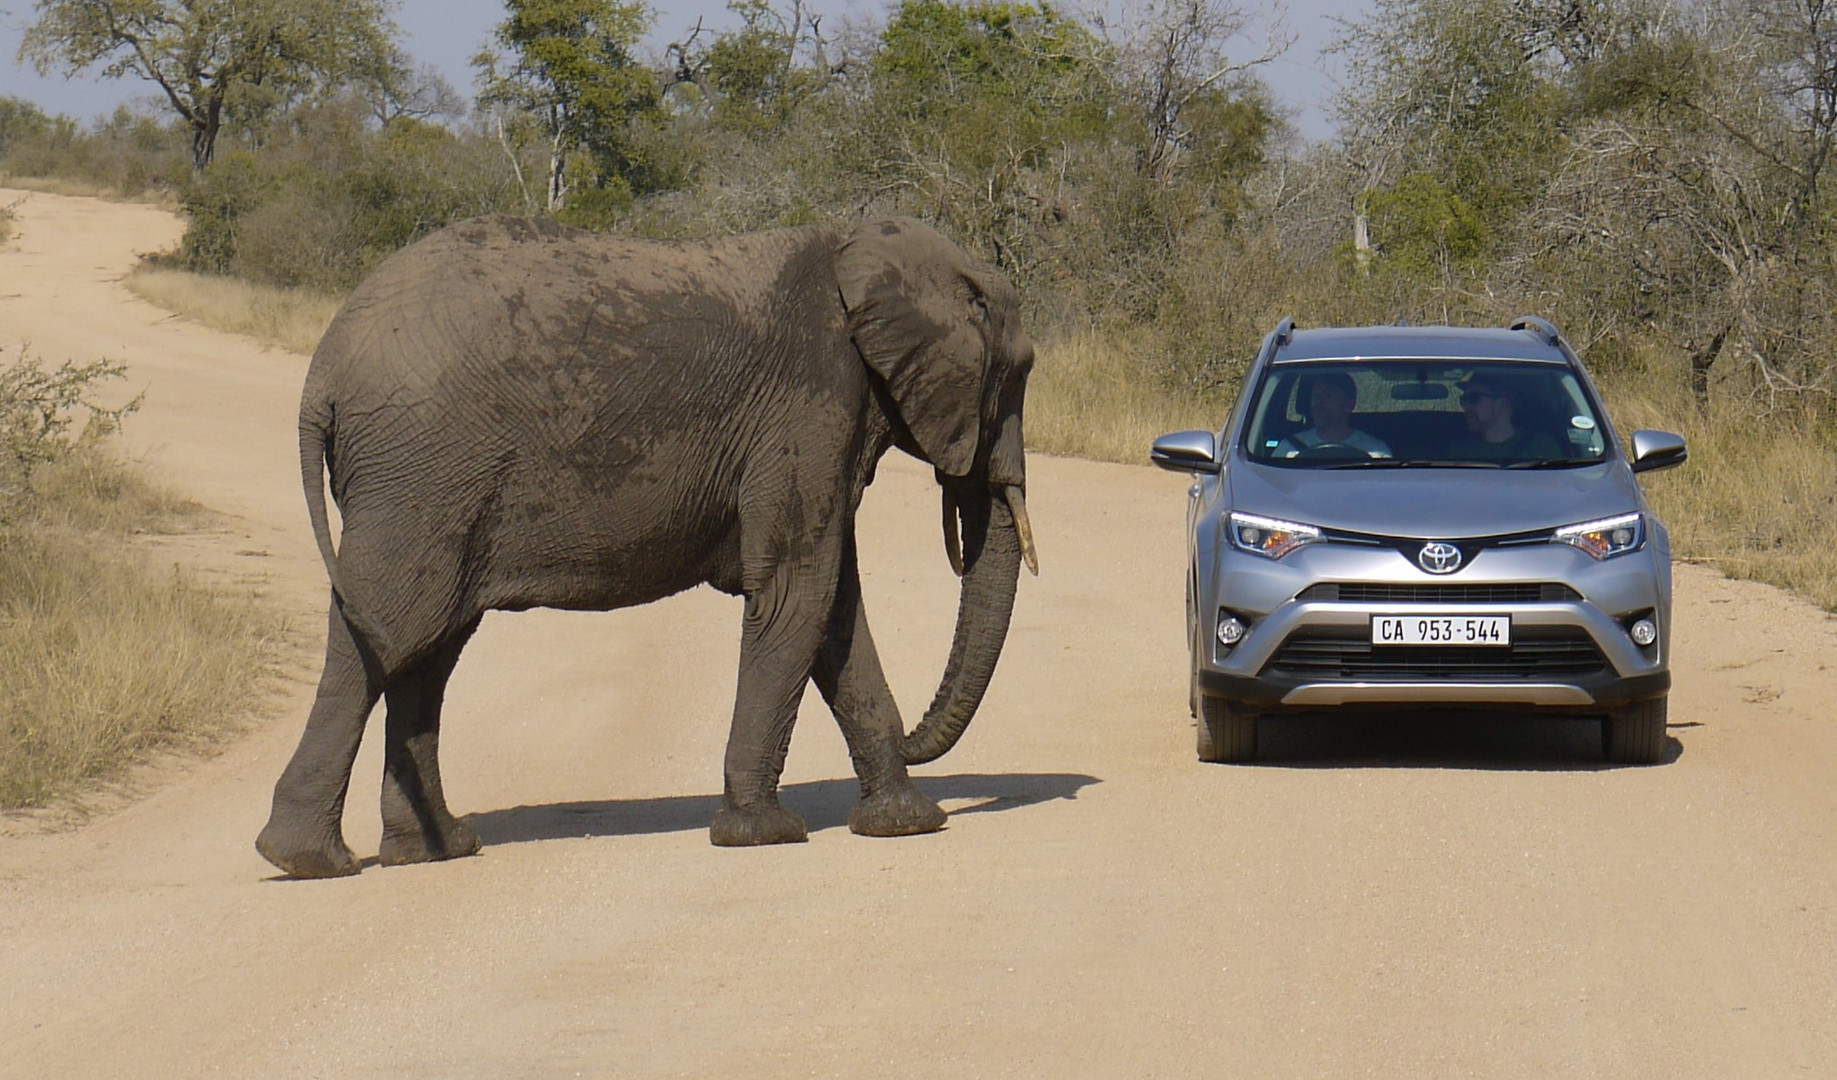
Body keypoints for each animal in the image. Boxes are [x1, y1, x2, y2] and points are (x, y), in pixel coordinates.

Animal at [251, 217, 1043, 877]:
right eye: (1021, 372)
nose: (917, 737)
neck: (870, 249)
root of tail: (321, 374)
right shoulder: (810, 405)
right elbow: (799, 594)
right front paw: (764, 835)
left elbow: (834, 611)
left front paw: (908, 824)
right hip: (421, 476)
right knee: (388, 634)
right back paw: (308, 861)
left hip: (432, 484)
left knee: (429, 651)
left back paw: (435, 849)